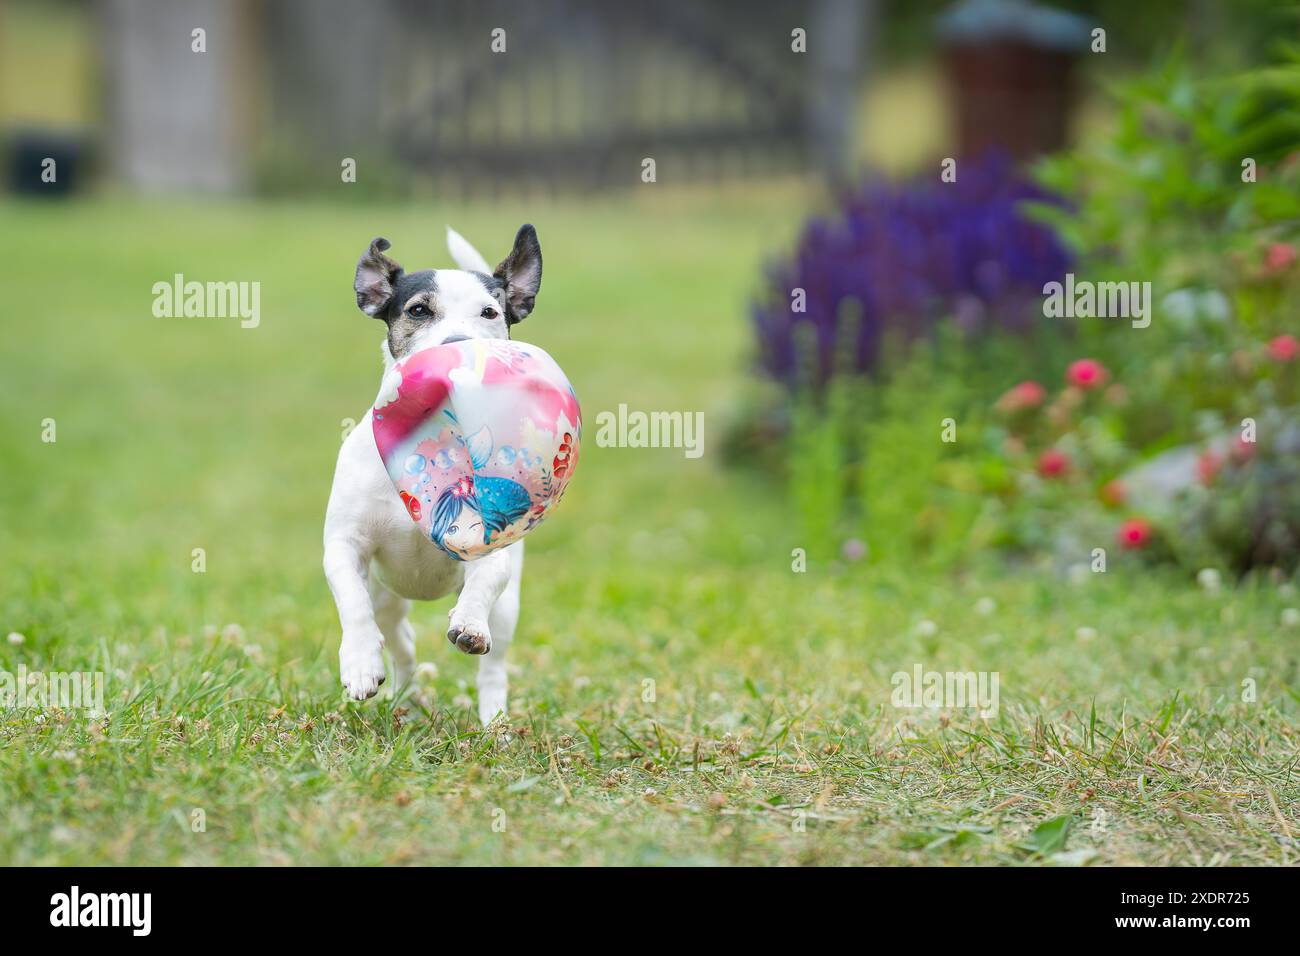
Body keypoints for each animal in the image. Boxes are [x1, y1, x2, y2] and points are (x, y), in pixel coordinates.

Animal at [327, 223, 546, 723]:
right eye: (418, 310)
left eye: (490, 312)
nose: (457, 345)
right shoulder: (344, 544)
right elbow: (352, 601)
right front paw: (360, 663)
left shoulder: (493, 551)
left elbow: (483, 581)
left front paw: (468, 624)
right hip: (388, 597)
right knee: (401, 642)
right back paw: (404, 697)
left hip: (508, 609)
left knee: (494, 664)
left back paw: (493, 719)